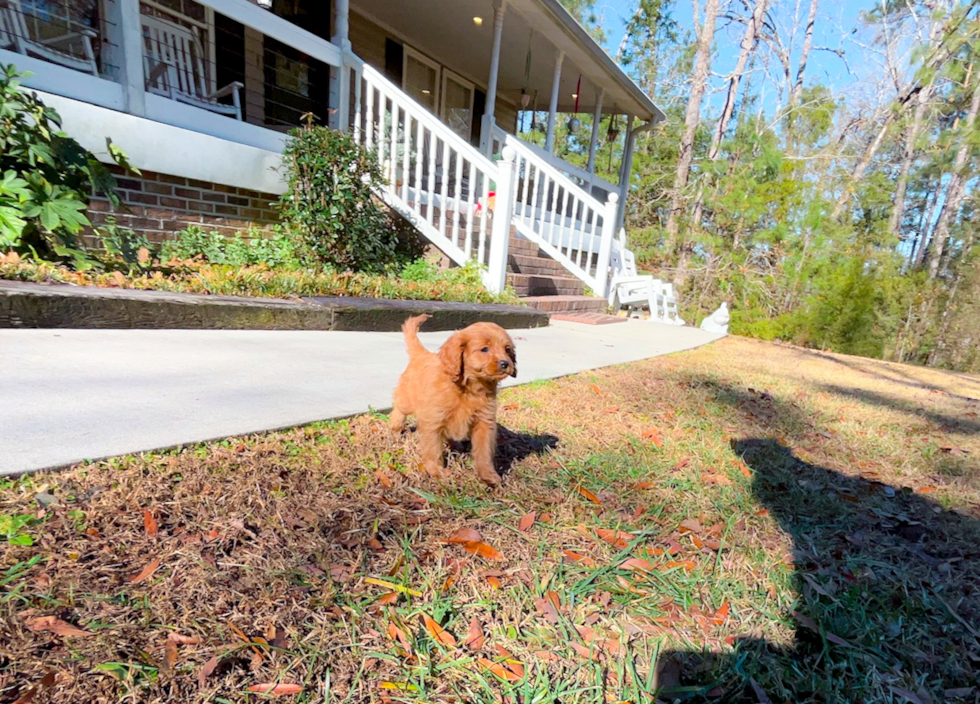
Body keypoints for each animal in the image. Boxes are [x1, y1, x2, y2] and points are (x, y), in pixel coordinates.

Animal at [388, 316, 516, 486]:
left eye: (507, 350)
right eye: (484, 349)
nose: (505, 363)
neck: (469, 389)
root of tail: (421, 355)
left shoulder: (484, 422)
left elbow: (484, 452)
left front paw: (488, 475)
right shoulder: (433, 420)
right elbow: (433, 449)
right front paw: (436, 471)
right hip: (406, 399)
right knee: (398, 411)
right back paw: (395, 429)